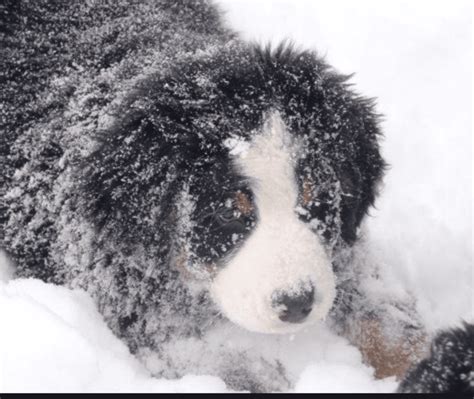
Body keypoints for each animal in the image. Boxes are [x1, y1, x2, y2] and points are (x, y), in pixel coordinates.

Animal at [1, 0, 436, 394]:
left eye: (318, 200)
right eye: (227, 214)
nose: (297, 304)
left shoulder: (341, 249)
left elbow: (386, 318)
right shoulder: (121, 290)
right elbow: (227, 367)